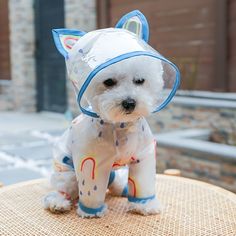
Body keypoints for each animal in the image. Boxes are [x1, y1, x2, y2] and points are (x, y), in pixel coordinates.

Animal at [42, 10, 179, 218]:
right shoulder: (92, 160)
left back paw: (123, 188)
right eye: (108, 82)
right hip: (66, 172)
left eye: (140, 80)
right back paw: (58, 203)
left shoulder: (144, 154)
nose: (129, 102)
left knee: (114, 183)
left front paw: (145, 205)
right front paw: (91, 212)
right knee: (63, 188)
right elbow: (92, 188)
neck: (121, 125)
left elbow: (143, 182)